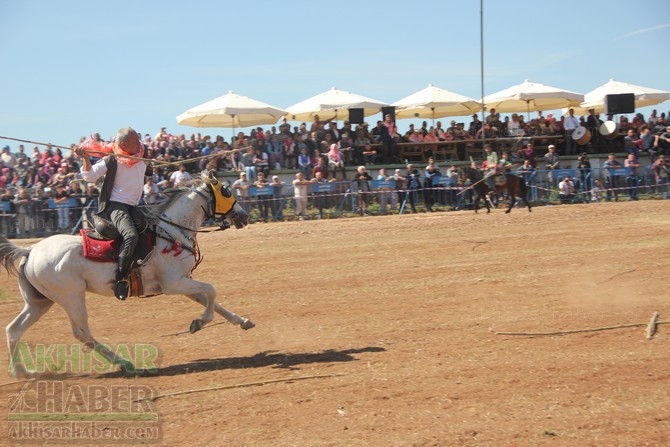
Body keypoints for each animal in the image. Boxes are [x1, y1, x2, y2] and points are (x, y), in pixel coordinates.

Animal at [0, 171, 256, 378]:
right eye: (226, 191)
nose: (244, 216)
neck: (171, 233)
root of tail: (30, 251)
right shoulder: (173, 284)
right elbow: (212, 291)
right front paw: (199, 322)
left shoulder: (184, 282)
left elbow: (212, 300)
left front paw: (242, 321)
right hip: (71, 298)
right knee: (82, 332)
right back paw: (125, 363)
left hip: (40, 302)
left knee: (14, 329)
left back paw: (22, 372)